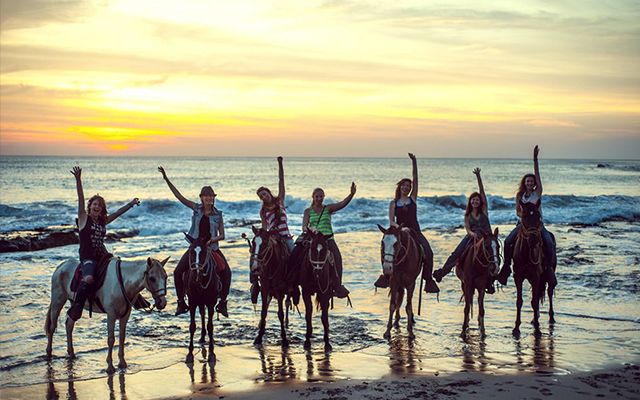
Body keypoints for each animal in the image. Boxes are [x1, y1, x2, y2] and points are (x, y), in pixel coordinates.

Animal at [182, 233, 220, 364]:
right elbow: (192, 326)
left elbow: (210, 326)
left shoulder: (211, 303)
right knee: (203, 314)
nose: (197, 272)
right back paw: (202, 337)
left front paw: (212, 353)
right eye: (191, 252)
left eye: (203, 252)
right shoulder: (192, 302)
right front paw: (189, 354)